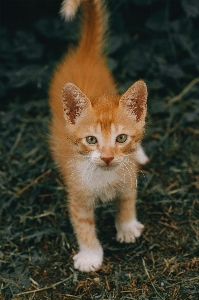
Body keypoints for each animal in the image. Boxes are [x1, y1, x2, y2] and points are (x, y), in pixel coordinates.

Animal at [48, 0, 148, 272]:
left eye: (121, 138)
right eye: (91, 140)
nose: (107, 157)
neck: (105, 176)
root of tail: (84, 53)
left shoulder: (128, 179)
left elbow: (127, 202)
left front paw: (127, 227)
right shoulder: (77, 195)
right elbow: (83, 226)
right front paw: (91, 256)